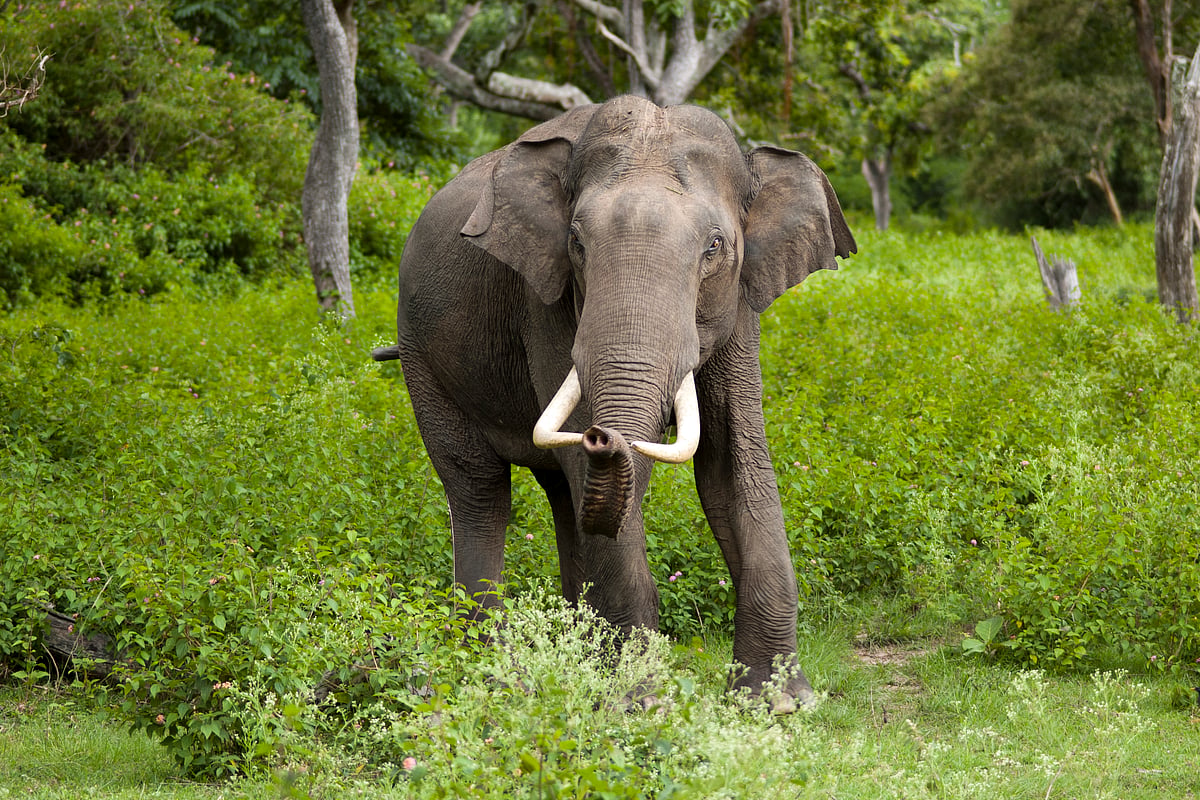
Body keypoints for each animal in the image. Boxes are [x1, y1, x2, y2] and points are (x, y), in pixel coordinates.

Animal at [373, 95, 855, 709]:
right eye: (577, 243)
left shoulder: (741, 303)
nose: (604, 436)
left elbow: (731, 466)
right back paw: (494, 671)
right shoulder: (546, 301)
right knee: (479, 488)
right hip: (421, 355)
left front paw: (779, 702)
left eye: (715, 247)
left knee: (562, 495)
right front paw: (639, 702)